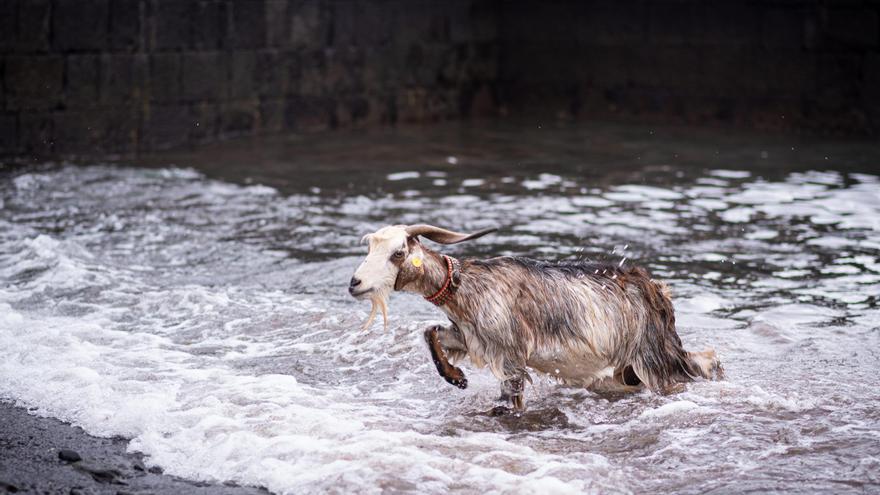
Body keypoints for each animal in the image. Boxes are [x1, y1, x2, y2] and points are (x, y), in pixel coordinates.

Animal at [348, 223, 720, 412]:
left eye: (398, 253)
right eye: (370, 249)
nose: (355, 283)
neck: (469, 286)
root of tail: (657, 290)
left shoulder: (510, 351)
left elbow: (508, 395)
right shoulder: (471, 335)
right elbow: (431, 333)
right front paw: (457, 377)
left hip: (654, 357)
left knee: (701, 364)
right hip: (629, 367)